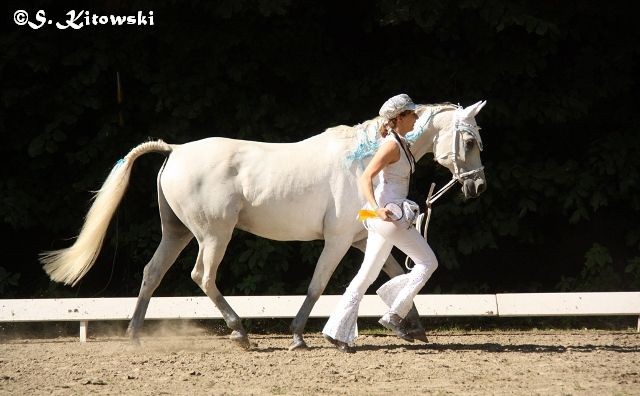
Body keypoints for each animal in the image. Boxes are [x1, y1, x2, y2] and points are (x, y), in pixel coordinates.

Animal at [41, 101, 484, 350]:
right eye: (469, 141)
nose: (476, 186)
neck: (364, 159)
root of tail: (176, 150)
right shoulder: (339, 239)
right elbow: (319, 284)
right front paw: (299, 335)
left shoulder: (363, 239)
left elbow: (390, 274)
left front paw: (412, 329)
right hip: (214, 235)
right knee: (202, 276)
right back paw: (240, 333)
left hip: (177, 232)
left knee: (152, 273)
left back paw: (134, 335)